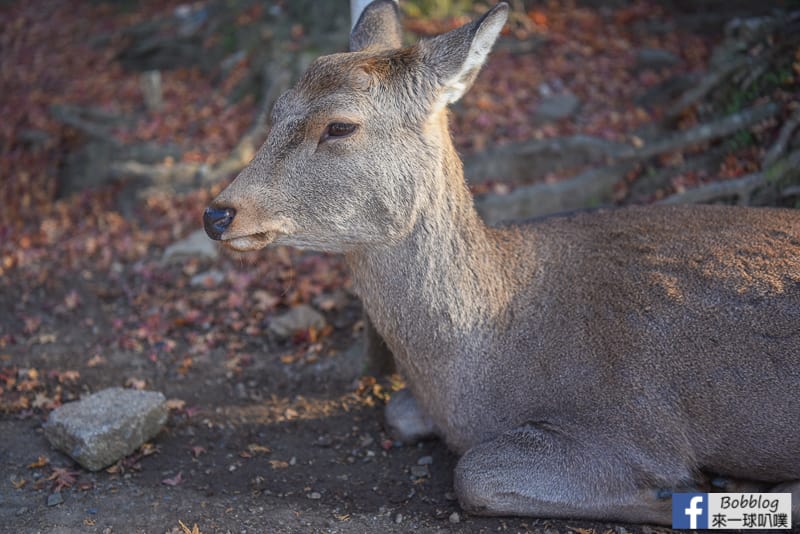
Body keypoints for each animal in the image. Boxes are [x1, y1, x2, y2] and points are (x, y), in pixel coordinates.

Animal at [205, 0, 800, 524]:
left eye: (340, 126)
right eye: (275, 110)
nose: (217, 212)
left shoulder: (636, 424)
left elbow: (473, 473)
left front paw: (693, 490)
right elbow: (398, 411)